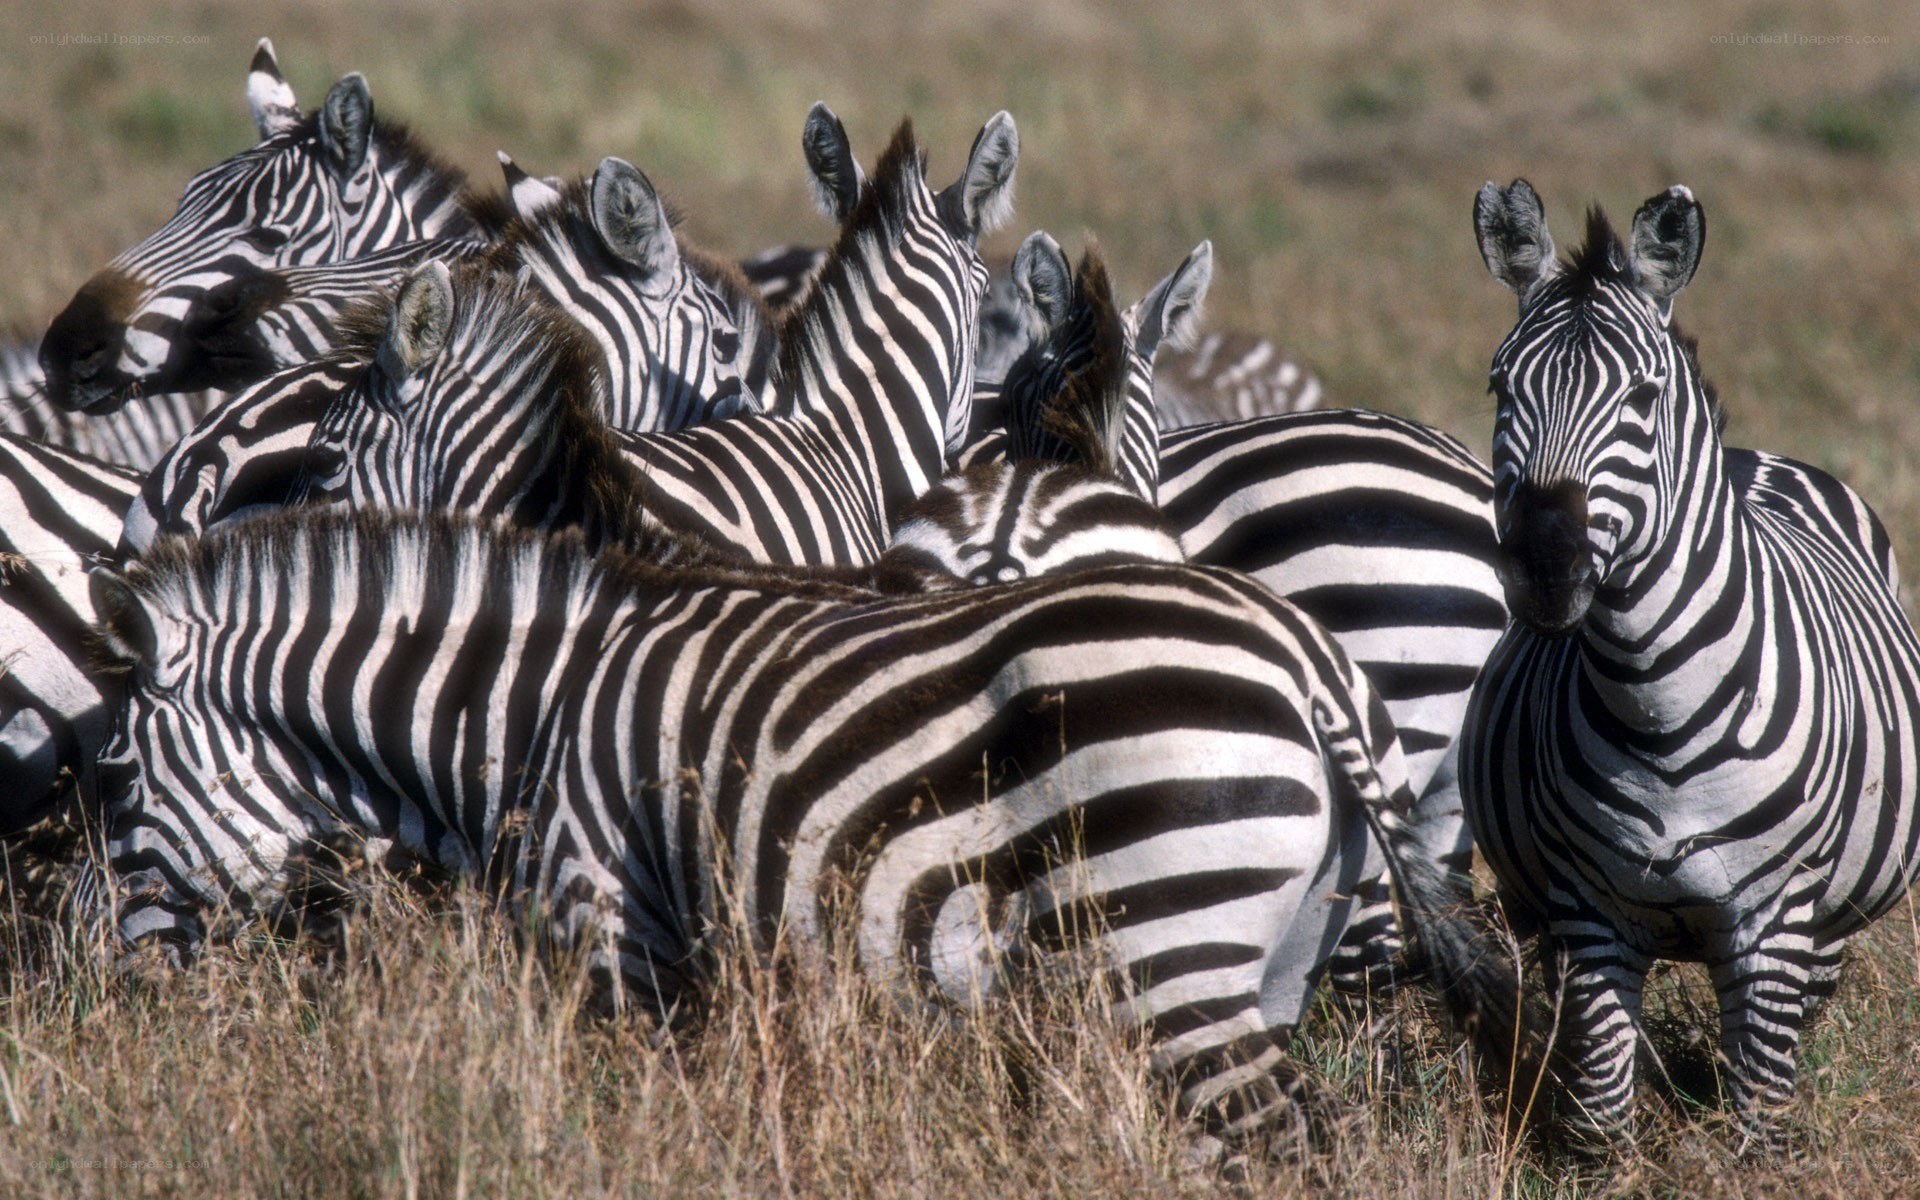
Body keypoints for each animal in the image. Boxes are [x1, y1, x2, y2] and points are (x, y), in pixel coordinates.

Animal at [86, 502, 1514, 1144]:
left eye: (119, 781)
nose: (115, 997)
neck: (526, 718)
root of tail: (1302, 654)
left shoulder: (612, 925)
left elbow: (641, 1115)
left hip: (1167, 944)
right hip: (1265, 952)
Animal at [1464, 180, 1920, 1147]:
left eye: (1641, 396)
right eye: (1500, 387)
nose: (1546, 564)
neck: (1656, 704)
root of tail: (1756, 456)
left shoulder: (1775, 922)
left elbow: (1758, 1119)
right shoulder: (1587, 914)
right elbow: (1601, 1111)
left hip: (1823, 920)